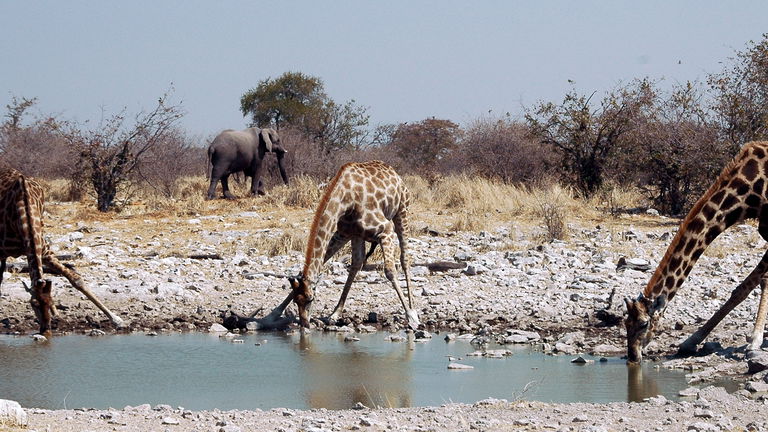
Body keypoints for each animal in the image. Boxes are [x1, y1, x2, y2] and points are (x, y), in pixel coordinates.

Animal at [0, 168, 123, 334]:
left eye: (52, 301)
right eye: (33, 304)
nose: (46, 330)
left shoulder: (44, 250)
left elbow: (76, 279)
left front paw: (116, 319)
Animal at [264, 160, 420, 330]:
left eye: (311, 299)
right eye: (296, 301)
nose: (305, 324)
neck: (346, 199)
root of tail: (393, 172)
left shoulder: (385, 230)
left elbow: (390, 271)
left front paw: (410, 316)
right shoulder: (346, 233)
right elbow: (329, 261)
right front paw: (272, 315)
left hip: (402, 212)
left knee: (405, 259)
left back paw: (413, 309)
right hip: (357, 235)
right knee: (357, 264)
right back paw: (335, 313)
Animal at [624, 141, 768, 362]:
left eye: (643, 323)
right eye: (625, 323)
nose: (633, 356)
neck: (750, 191)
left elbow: (750, 285)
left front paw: (754, 342)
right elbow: (748, 286)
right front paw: (691, 341)